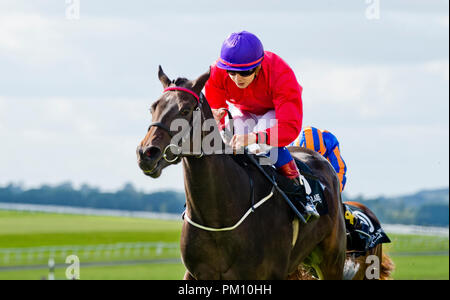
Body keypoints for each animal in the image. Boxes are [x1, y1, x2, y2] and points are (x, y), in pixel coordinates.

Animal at [136, 67, 386, 278]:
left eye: (185, 109)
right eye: (153, 107)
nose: (146, 152)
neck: (219, 218)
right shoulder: (198, 274)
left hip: (332, 261)